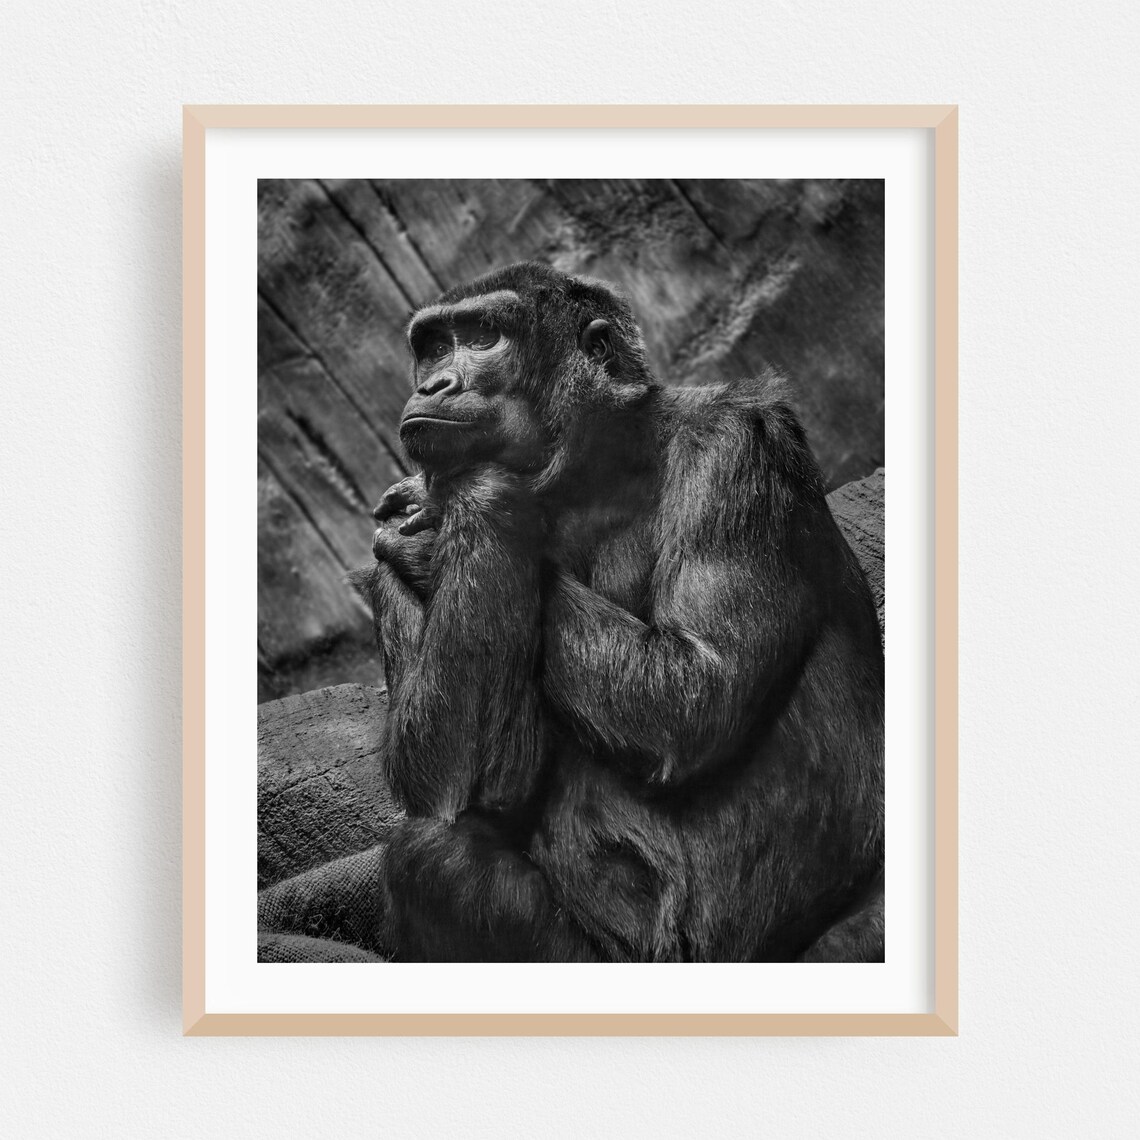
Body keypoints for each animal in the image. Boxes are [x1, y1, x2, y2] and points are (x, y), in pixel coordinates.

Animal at [265, 261, 885, 963]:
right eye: (433, 345)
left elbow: (698, 687)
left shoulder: (733, 443)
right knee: (439, 852)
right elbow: (456, 776)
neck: (595, 469)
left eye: (483, 337)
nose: (433, 382)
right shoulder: (382, 560)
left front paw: (468, 500)